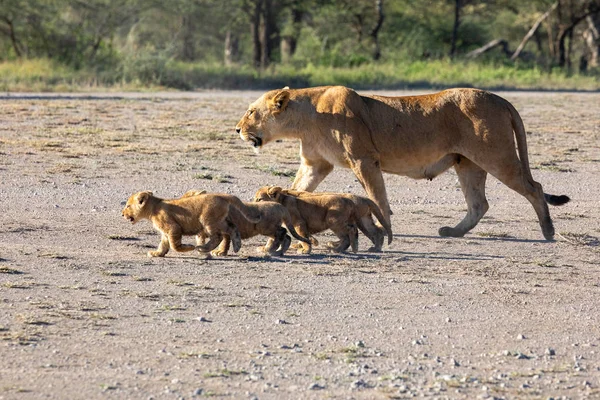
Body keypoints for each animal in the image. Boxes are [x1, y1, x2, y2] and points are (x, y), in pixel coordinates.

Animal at [233, 85, 568, 239]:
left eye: (251, 112)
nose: (236, 129)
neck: (306, 118)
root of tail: (500, 98)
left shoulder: (364, 159)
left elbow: (377, 196)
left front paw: (386, 229)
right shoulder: (317, 164)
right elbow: (298, 188)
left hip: (497, 155)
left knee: (535, 188)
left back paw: (548, 231)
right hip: (467, 163)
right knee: (479, 204)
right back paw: (453, 232)